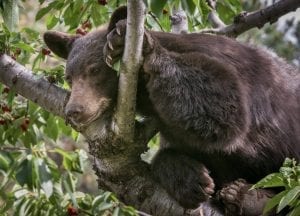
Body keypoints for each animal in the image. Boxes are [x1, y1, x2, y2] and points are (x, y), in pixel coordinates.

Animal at [44, 6, 300, 214]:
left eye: (95, 70)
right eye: (69, 77)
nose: (74, 110)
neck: (149, 100)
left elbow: (226, 107)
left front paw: (126, 42)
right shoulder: (175, 128)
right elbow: (178, 149)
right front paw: (192, 180)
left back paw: (248, 197)